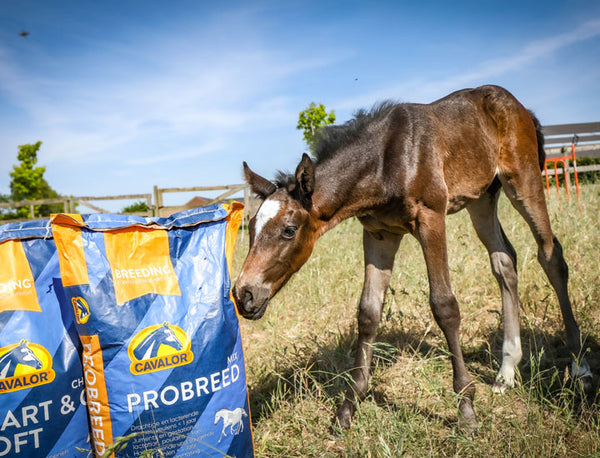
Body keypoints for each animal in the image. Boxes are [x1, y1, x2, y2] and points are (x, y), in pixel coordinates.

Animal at [233, 83, 592, 430]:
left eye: (289, 230)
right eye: (251, 228)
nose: (244, 294)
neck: (384, 161)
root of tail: (518, 106)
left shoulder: (431, 218)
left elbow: (444, 306)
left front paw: (466, 408)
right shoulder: (379, 234)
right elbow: (368, 312)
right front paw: (348, 407)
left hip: (523, 179)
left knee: (551, 256)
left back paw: (579, 365)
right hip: (482, 198)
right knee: (504, 262)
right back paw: (507, 371)